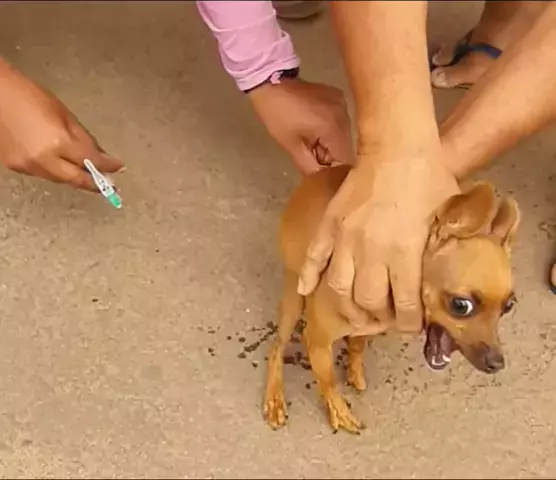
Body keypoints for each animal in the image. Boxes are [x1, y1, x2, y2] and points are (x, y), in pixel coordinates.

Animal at [263, 165, 520, 433]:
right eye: (461, 305)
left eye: (508, 306)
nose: (497, 363)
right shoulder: (317, 341)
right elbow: (329, 382)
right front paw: (339, 411)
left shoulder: (364, 325)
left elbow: (357, 346)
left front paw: (354, 371)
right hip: (294, 301)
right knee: (277, 347)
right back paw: (274, 398)